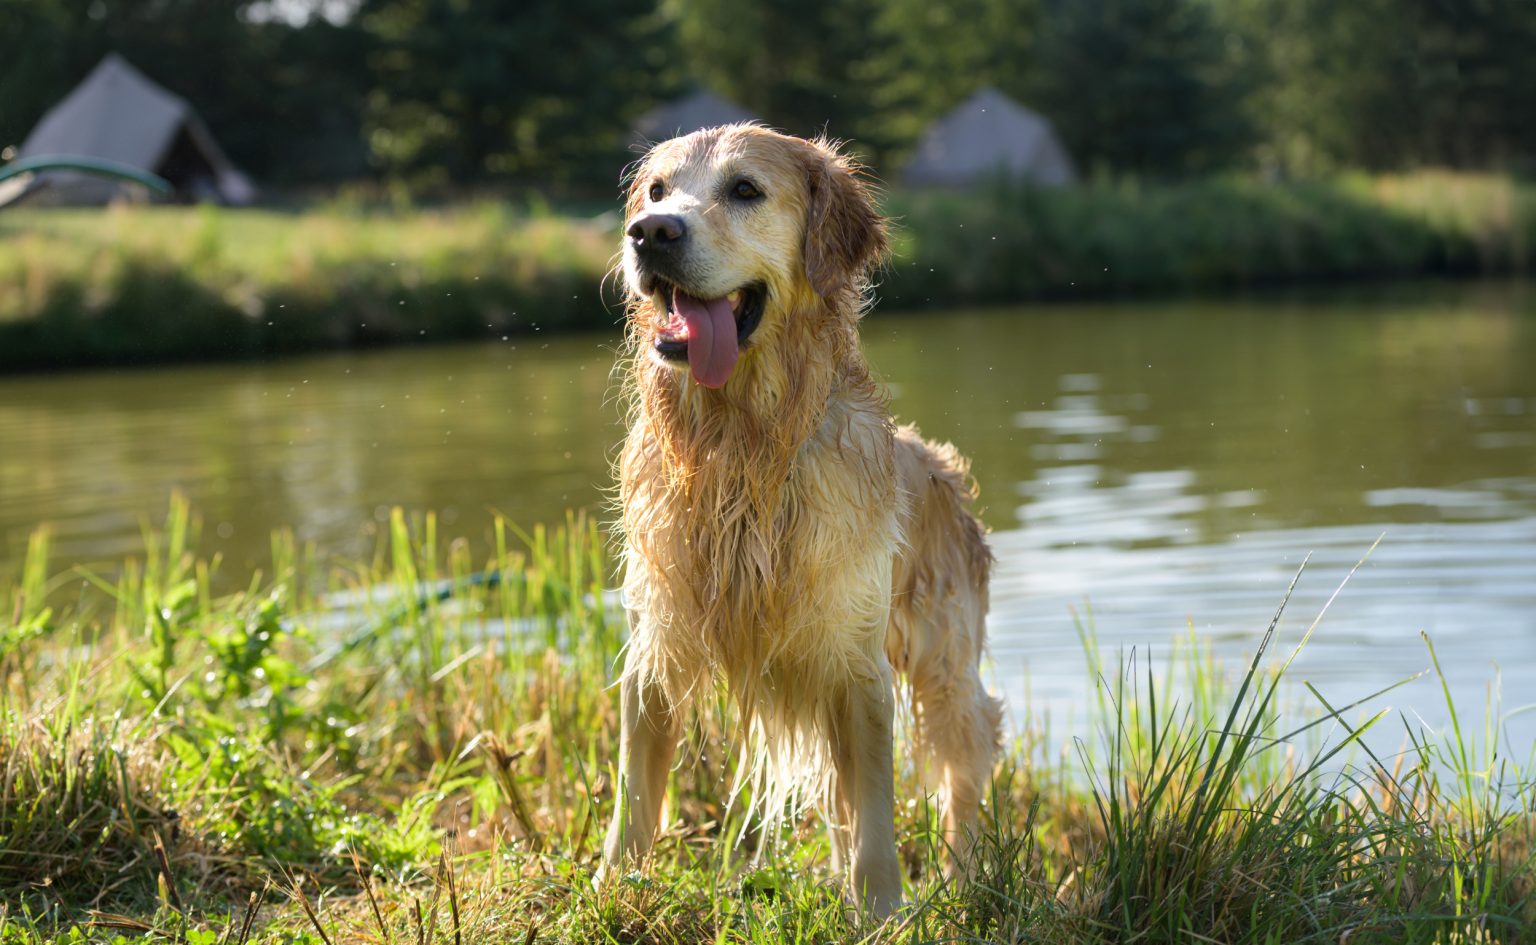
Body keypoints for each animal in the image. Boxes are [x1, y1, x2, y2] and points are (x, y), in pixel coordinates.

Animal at [592, 126, 1001, 915]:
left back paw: (964, 882)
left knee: (963, 772)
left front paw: (882, 909)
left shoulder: (855, 662)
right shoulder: (654, 640)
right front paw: (608, 889)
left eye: (745, 189)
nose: (650, 233)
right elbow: (634, 795)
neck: (741, 446)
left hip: (947, 669)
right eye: (657, 191)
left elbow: (875, 814)